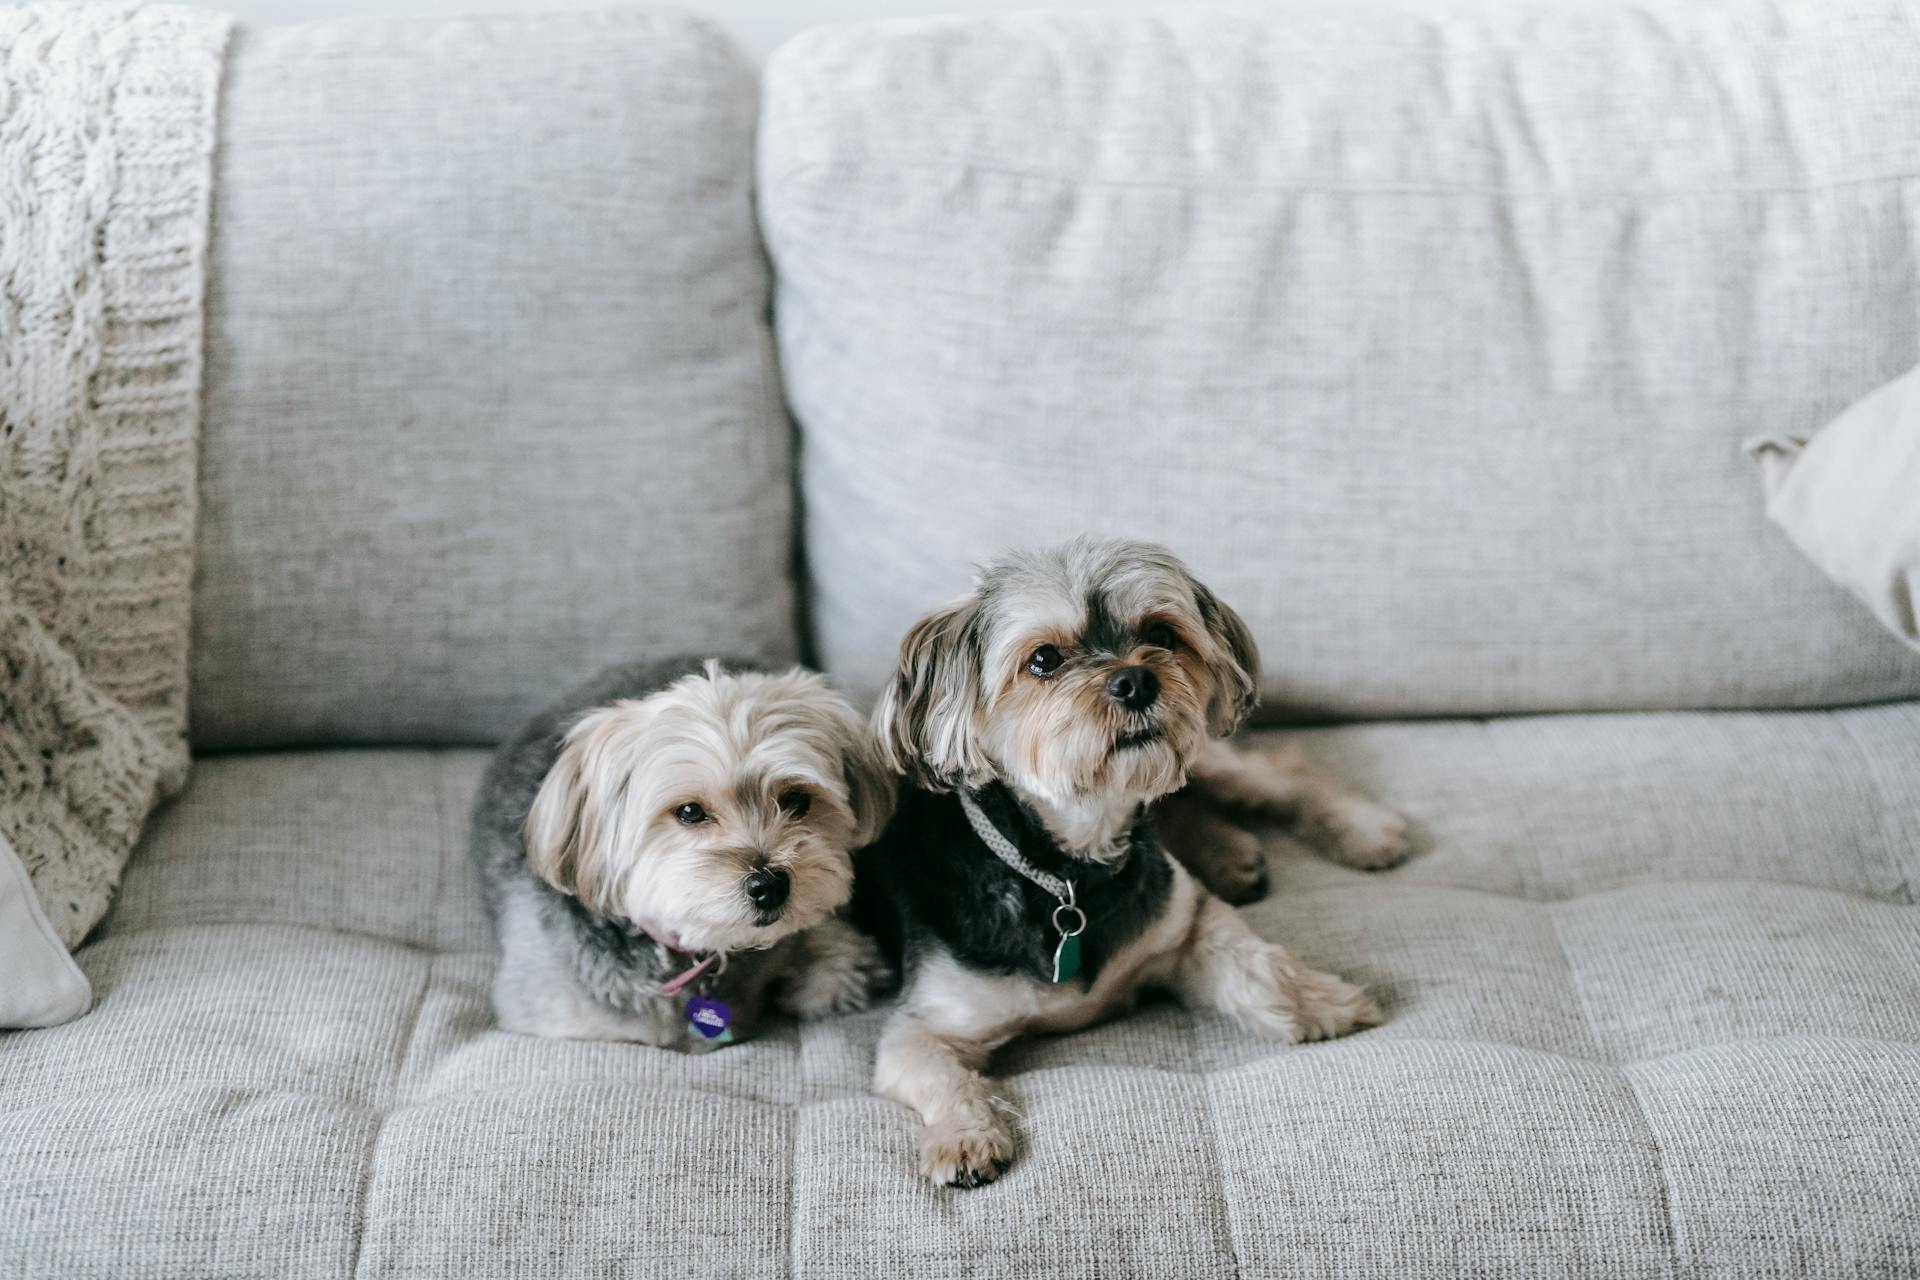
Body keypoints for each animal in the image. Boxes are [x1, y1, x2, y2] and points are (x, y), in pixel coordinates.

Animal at [856, 537, 1413, 1189]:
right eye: (1043, 660)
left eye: (1162, 634)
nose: (1135, 680)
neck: (1071, 869)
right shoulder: (923, 1026)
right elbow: (940, 1076)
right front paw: (964, 1139)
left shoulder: (1187, 923)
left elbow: (1260, 968)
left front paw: (1327, 1003)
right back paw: (1231, 854)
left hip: (1211, 750)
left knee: (1279, 773)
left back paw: (1363, 831)